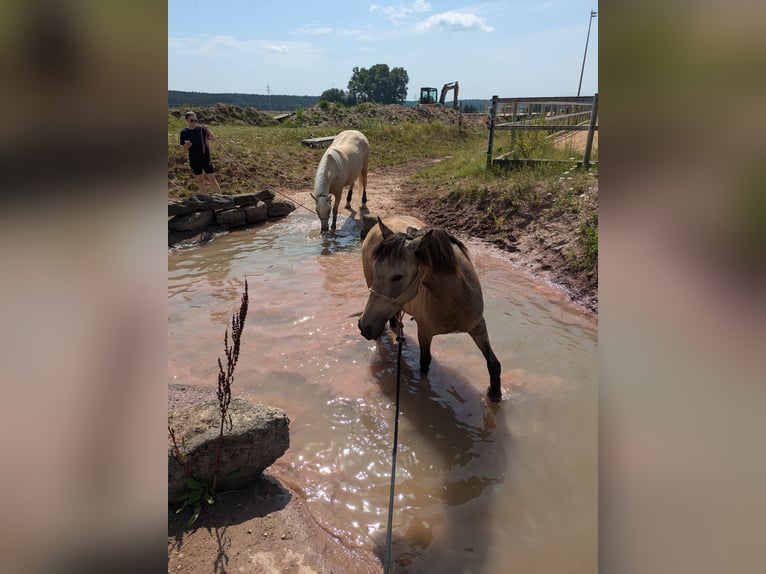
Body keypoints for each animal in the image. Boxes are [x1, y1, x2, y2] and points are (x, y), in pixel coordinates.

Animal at [360, 218, 504, 402]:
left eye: (398, 276)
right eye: (375, 268)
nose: (363, 326)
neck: (453, 299)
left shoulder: (478, 326)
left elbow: (493, 363)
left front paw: (495, 393)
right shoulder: (425, 332)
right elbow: (424, 362)